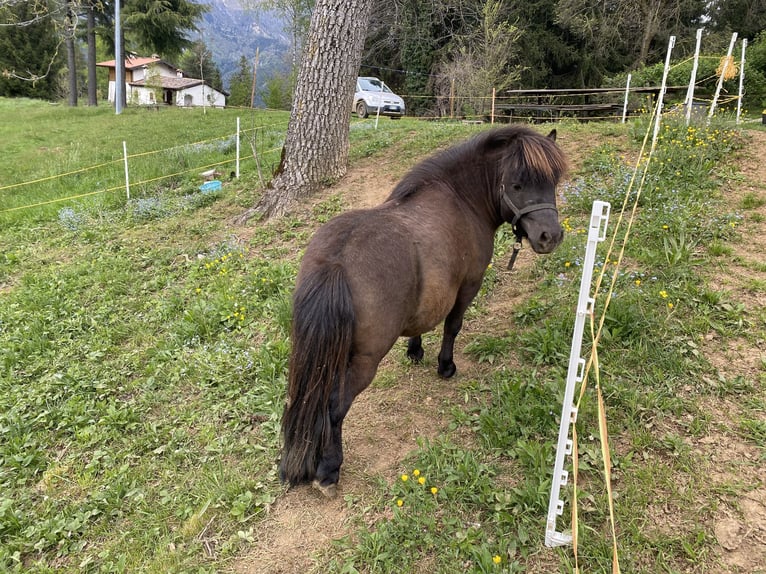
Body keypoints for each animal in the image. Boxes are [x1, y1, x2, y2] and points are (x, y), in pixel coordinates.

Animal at [280, 126, 568, 500]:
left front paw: (414, 350)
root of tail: (336, 261)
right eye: (517, 184)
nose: (551, 236)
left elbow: (422, 323)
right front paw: (445, 365)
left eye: (552, 182)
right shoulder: (468, 285)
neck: (460, 197)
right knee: (334, 405)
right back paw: (328, 470)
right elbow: (452, 326)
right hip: (363, 361)